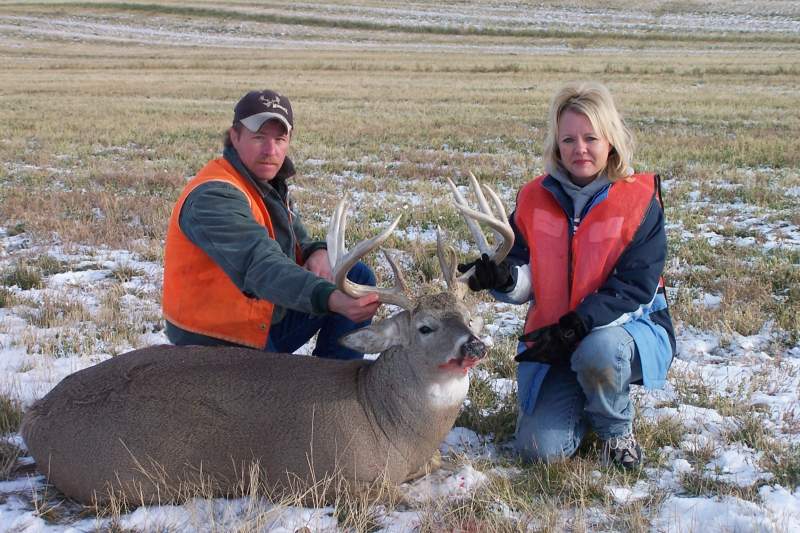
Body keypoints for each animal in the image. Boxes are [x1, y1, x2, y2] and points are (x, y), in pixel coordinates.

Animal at [20, 174, 512, 502]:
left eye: (469, 317)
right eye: (425, 327)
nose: (475, 345)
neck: (389, 423)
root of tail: (34, 416)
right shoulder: (324, 478)